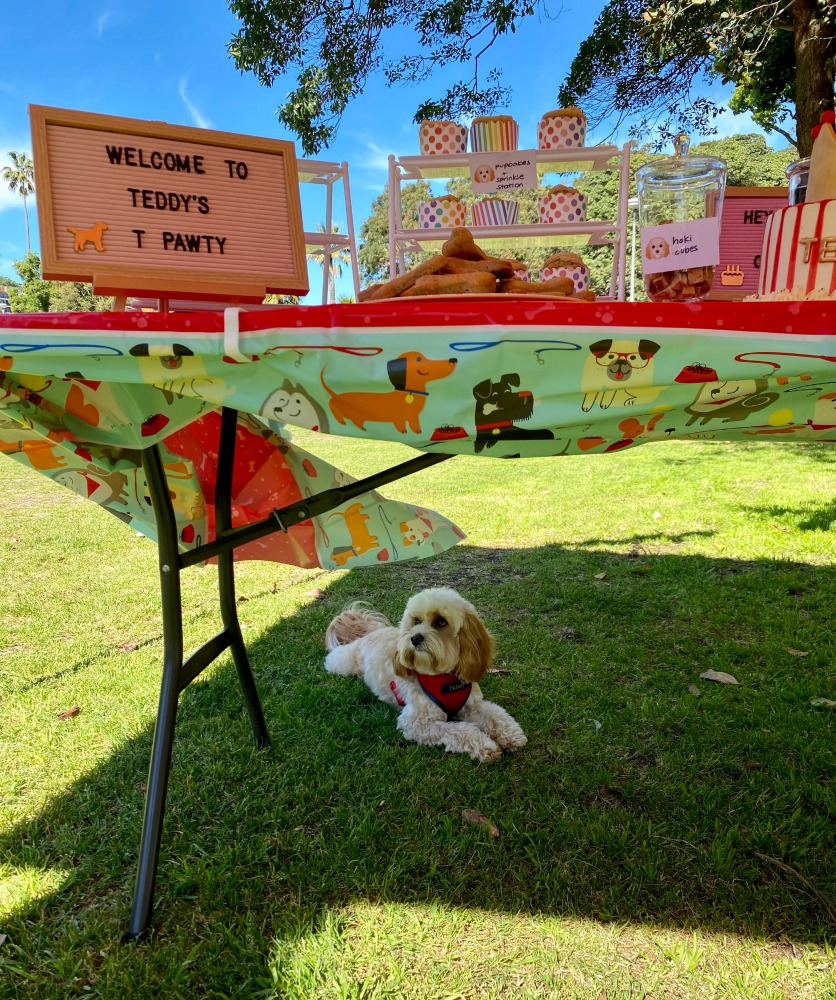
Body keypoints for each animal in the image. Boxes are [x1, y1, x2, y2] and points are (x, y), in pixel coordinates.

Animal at [324, 584, 524, 764]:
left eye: (441, 621)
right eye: (416, 621)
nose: (415, 638)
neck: (444, 677)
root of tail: (372, 632)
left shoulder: (472, 704)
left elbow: (495, 714)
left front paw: (512, 734)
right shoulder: (416, 723)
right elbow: (458, 729)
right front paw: (485, 745)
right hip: (342, 661)